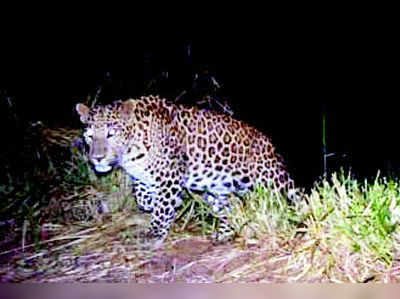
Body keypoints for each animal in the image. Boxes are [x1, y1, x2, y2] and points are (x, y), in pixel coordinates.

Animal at [75, 95, 302, 245]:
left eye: (111, 134)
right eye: (89, 136)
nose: (97, 158)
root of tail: (269, 143)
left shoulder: (170, 176)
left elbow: (162, 205)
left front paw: (155, 232)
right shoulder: (144, 176)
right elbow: (143, 197)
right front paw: (155, 205)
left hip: (272, 180)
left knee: (292, 198)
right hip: (218, 191)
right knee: (230, 207)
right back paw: (224, 234)